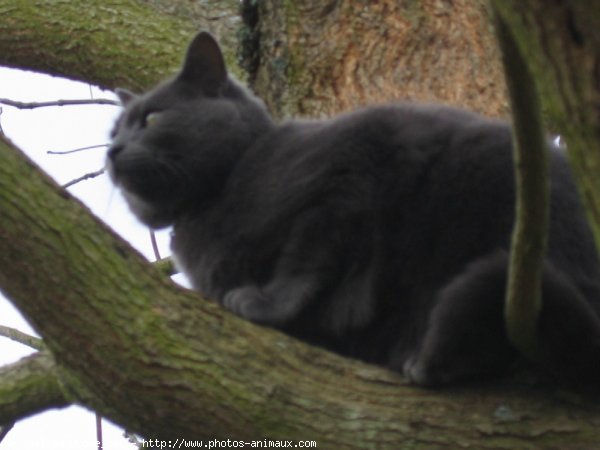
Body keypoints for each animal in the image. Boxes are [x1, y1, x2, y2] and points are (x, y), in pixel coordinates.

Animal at [106, 31, 600, 386]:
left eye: (152, 118)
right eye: (115, 131)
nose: (112, 150)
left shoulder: (354, 167)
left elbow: (307, 259)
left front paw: (264, 303)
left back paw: (430, 360)